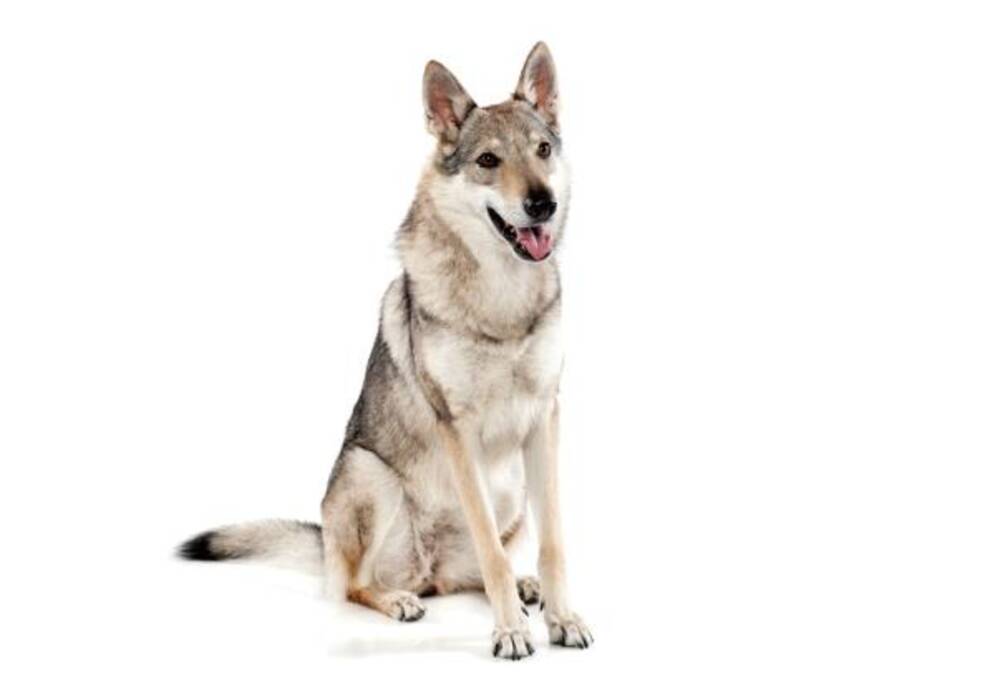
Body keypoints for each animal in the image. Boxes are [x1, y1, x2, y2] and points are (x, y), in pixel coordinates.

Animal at [179, 42, 592, 660]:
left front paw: (560, 617)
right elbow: (491, 553)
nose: (541, 204)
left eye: (542, 151)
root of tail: (429, 572)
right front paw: (510, 632)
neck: (500, 297)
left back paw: (523, 589)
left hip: (511, 488)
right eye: (488, 161)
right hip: (371, 476)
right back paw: (400, 599)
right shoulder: (457, 427)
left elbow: (552, 546)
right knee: (359, 583)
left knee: (475, 567)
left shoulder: (544, 417)